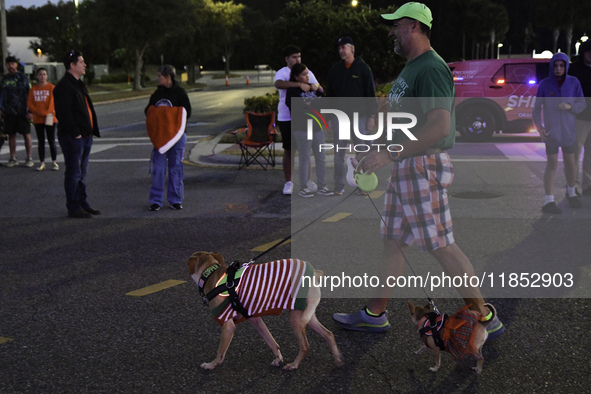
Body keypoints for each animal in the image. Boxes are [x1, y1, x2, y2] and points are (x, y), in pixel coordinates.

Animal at [187, 252, 344, 370]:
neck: (210, 274)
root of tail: (314, 273)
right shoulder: (255, 319)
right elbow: (271, 342)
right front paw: (278, 358)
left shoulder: (228, 325)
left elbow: (220, 352)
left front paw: (211, 365)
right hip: (307, 315)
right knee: (328, 334)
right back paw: (337, 359)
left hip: (296, 319)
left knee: (305, 345)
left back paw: (294, 365)